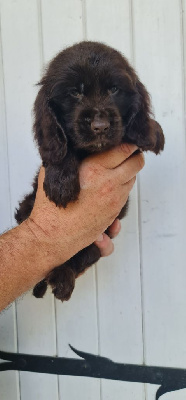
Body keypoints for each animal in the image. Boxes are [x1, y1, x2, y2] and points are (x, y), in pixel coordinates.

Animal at [15, 42, 165, 302]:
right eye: (75, 93)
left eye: (114, 89)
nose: (100, 127)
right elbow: (61, 147)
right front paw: (60, 183)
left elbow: (139, 126)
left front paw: (153, 133)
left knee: (77, 259)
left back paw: (62, 280)